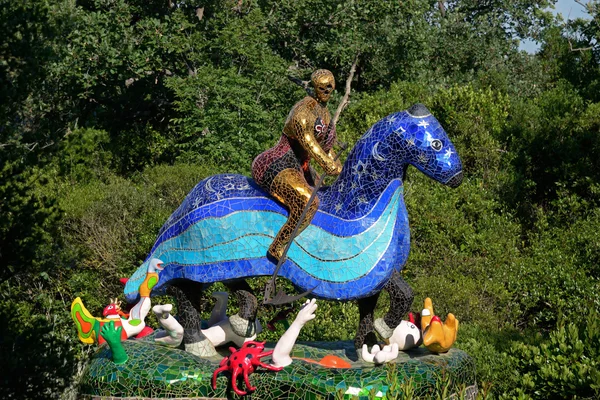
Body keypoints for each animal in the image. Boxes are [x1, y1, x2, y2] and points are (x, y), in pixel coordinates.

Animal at [124, 104, 462, 348]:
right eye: (436, 142)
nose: (457, 177)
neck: (359, 208)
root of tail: (189, 199)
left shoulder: (374, 277)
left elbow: (378, 307)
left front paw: (369, 347)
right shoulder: (365, 271)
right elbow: (403, 294)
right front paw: (383, 330)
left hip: (214, 263)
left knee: (204, 291)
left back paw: (228, 327)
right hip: (206, 259)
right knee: (185, 290)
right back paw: (203, 341)